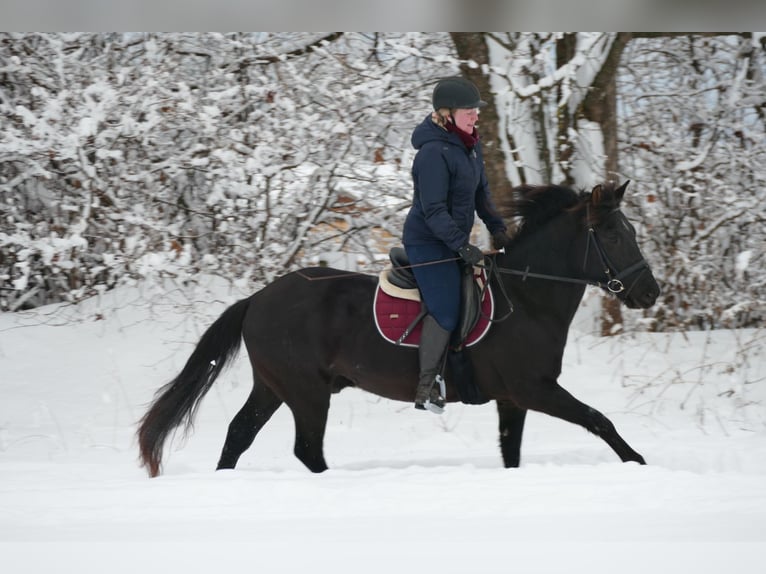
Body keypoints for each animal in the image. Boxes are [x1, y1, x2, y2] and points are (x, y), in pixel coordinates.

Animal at [136, 183, 660, 476]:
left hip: (273, 386)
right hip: (306, 392)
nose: (649, 292)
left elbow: (512, 452)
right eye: (613, 234)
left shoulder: (513, 399)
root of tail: (259, 299)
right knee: (307, 450)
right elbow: (600, 420)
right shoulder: (535, 389)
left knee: (238, 435)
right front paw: (638, 463)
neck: (525, 298)